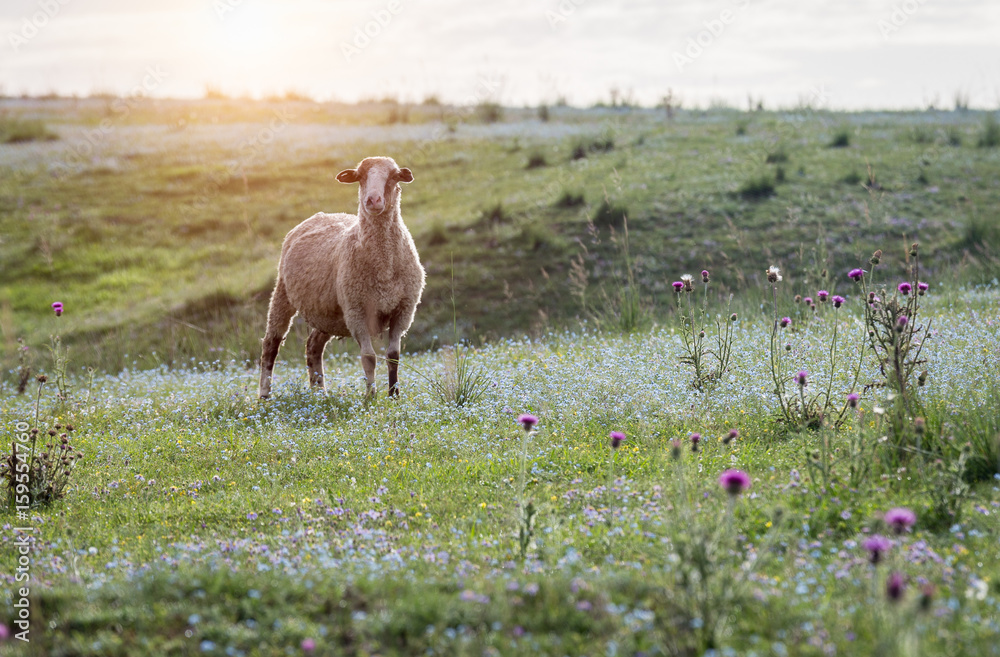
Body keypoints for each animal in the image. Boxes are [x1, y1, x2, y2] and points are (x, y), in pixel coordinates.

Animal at [256, 156, 424, 398]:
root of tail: (320, 215)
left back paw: (319, 393)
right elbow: (369, 358)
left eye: (393, 176)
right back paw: (265, 395)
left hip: (327, 313)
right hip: (282, 293)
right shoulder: (356, 311)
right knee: (271, 344)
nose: (373, 200)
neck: (383, 269)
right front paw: (370, 397)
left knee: (313, 346)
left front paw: (394, 395)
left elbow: (393, 356)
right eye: (360, 176)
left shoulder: (403, 310)